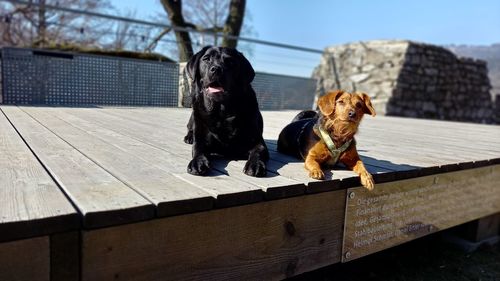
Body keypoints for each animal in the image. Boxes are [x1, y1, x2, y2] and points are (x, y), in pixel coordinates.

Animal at [185, 46, 270, 177]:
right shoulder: (201, 138)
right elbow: (198, 148)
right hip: (194, 115)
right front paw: (197, 162)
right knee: (190, 128)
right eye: (206, 59)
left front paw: (255, 164)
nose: (216, 69)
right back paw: (189, 137)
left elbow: (258, 150)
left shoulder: (257, 141)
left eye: (230, 62)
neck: (222, 112)